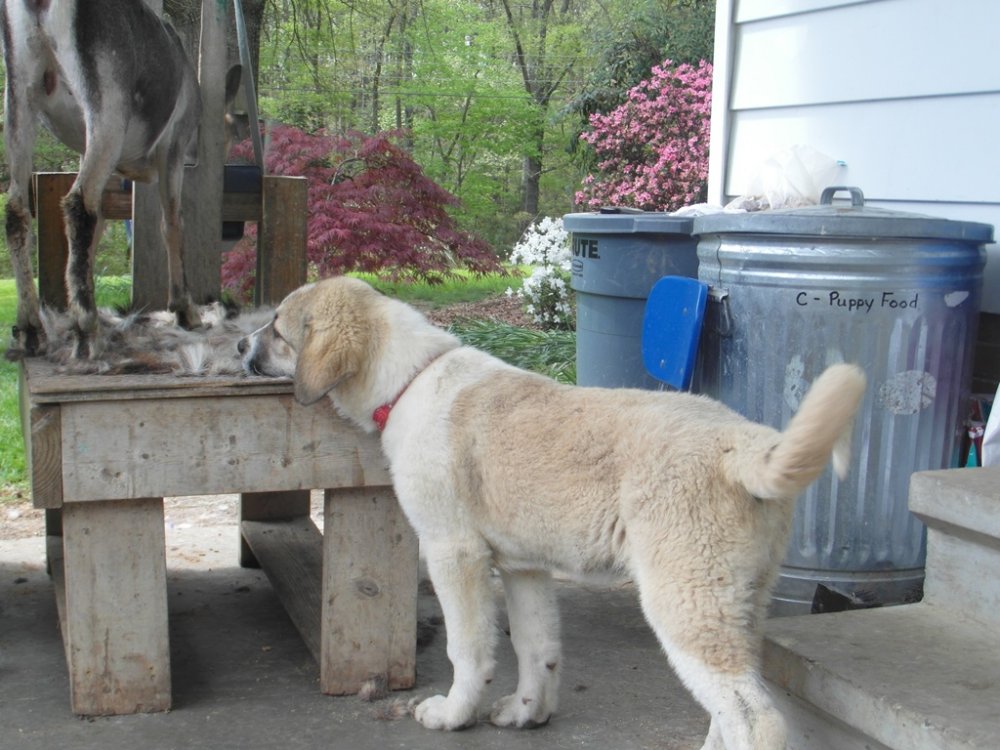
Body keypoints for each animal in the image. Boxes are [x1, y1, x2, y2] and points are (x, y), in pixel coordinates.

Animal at [0, 0, 242, 360]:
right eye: (228, 133)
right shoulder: (173, 142)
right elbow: (172, 222)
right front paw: (186, 311)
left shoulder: (88, 150)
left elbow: (100, 223)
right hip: (108, 96)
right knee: (77, 201)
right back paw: (87, 331)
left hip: (18, 90)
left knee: (16, 207)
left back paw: (30, 330)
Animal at [242, 278, 868, 750]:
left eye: (277, 330)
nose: (240, 347)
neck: (411, 376)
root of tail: (744, 441)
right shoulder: (525, 568)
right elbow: (536, 647)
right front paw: (527, 713)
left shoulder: (453, 553)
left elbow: (468, 648)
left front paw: (452, 714)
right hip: (740, 602)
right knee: (732, 705)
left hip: (686, 602)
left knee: (755, 718)